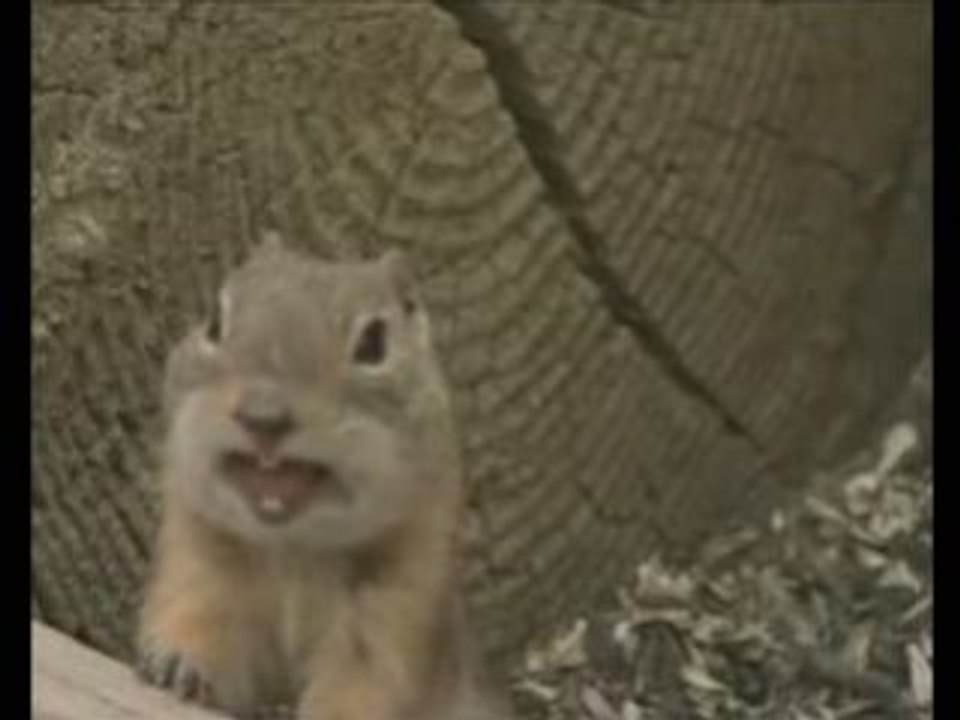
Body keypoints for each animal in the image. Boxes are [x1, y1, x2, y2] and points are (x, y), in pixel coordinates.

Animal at [136, 236, 509, 720]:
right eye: (214, 321)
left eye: (373, 342)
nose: (263, 414)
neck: (293, 550)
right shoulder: (198, 563)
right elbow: (203, 625)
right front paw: (179, 662)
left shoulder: (403, 600)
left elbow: (362, 685)